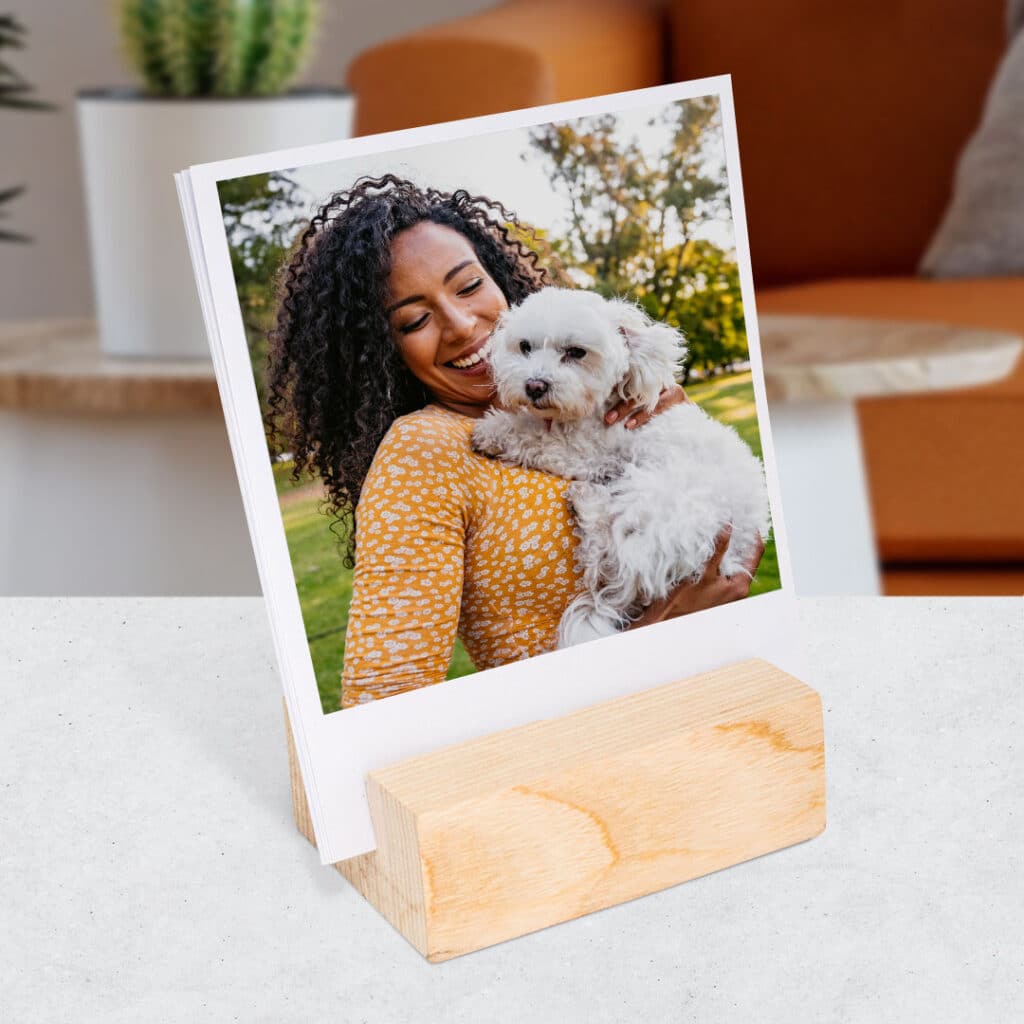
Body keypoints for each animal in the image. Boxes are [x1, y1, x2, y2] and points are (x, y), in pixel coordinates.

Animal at [471, 286, 770, 647]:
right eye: (525, 346)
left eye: (576, 352)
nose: (534, 385)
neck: (597, 410)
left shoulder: (590, 450)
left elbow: (540, 439)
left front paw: (494, 431)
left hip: (661, 505)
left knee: (611, 557)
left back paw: (588, 502)